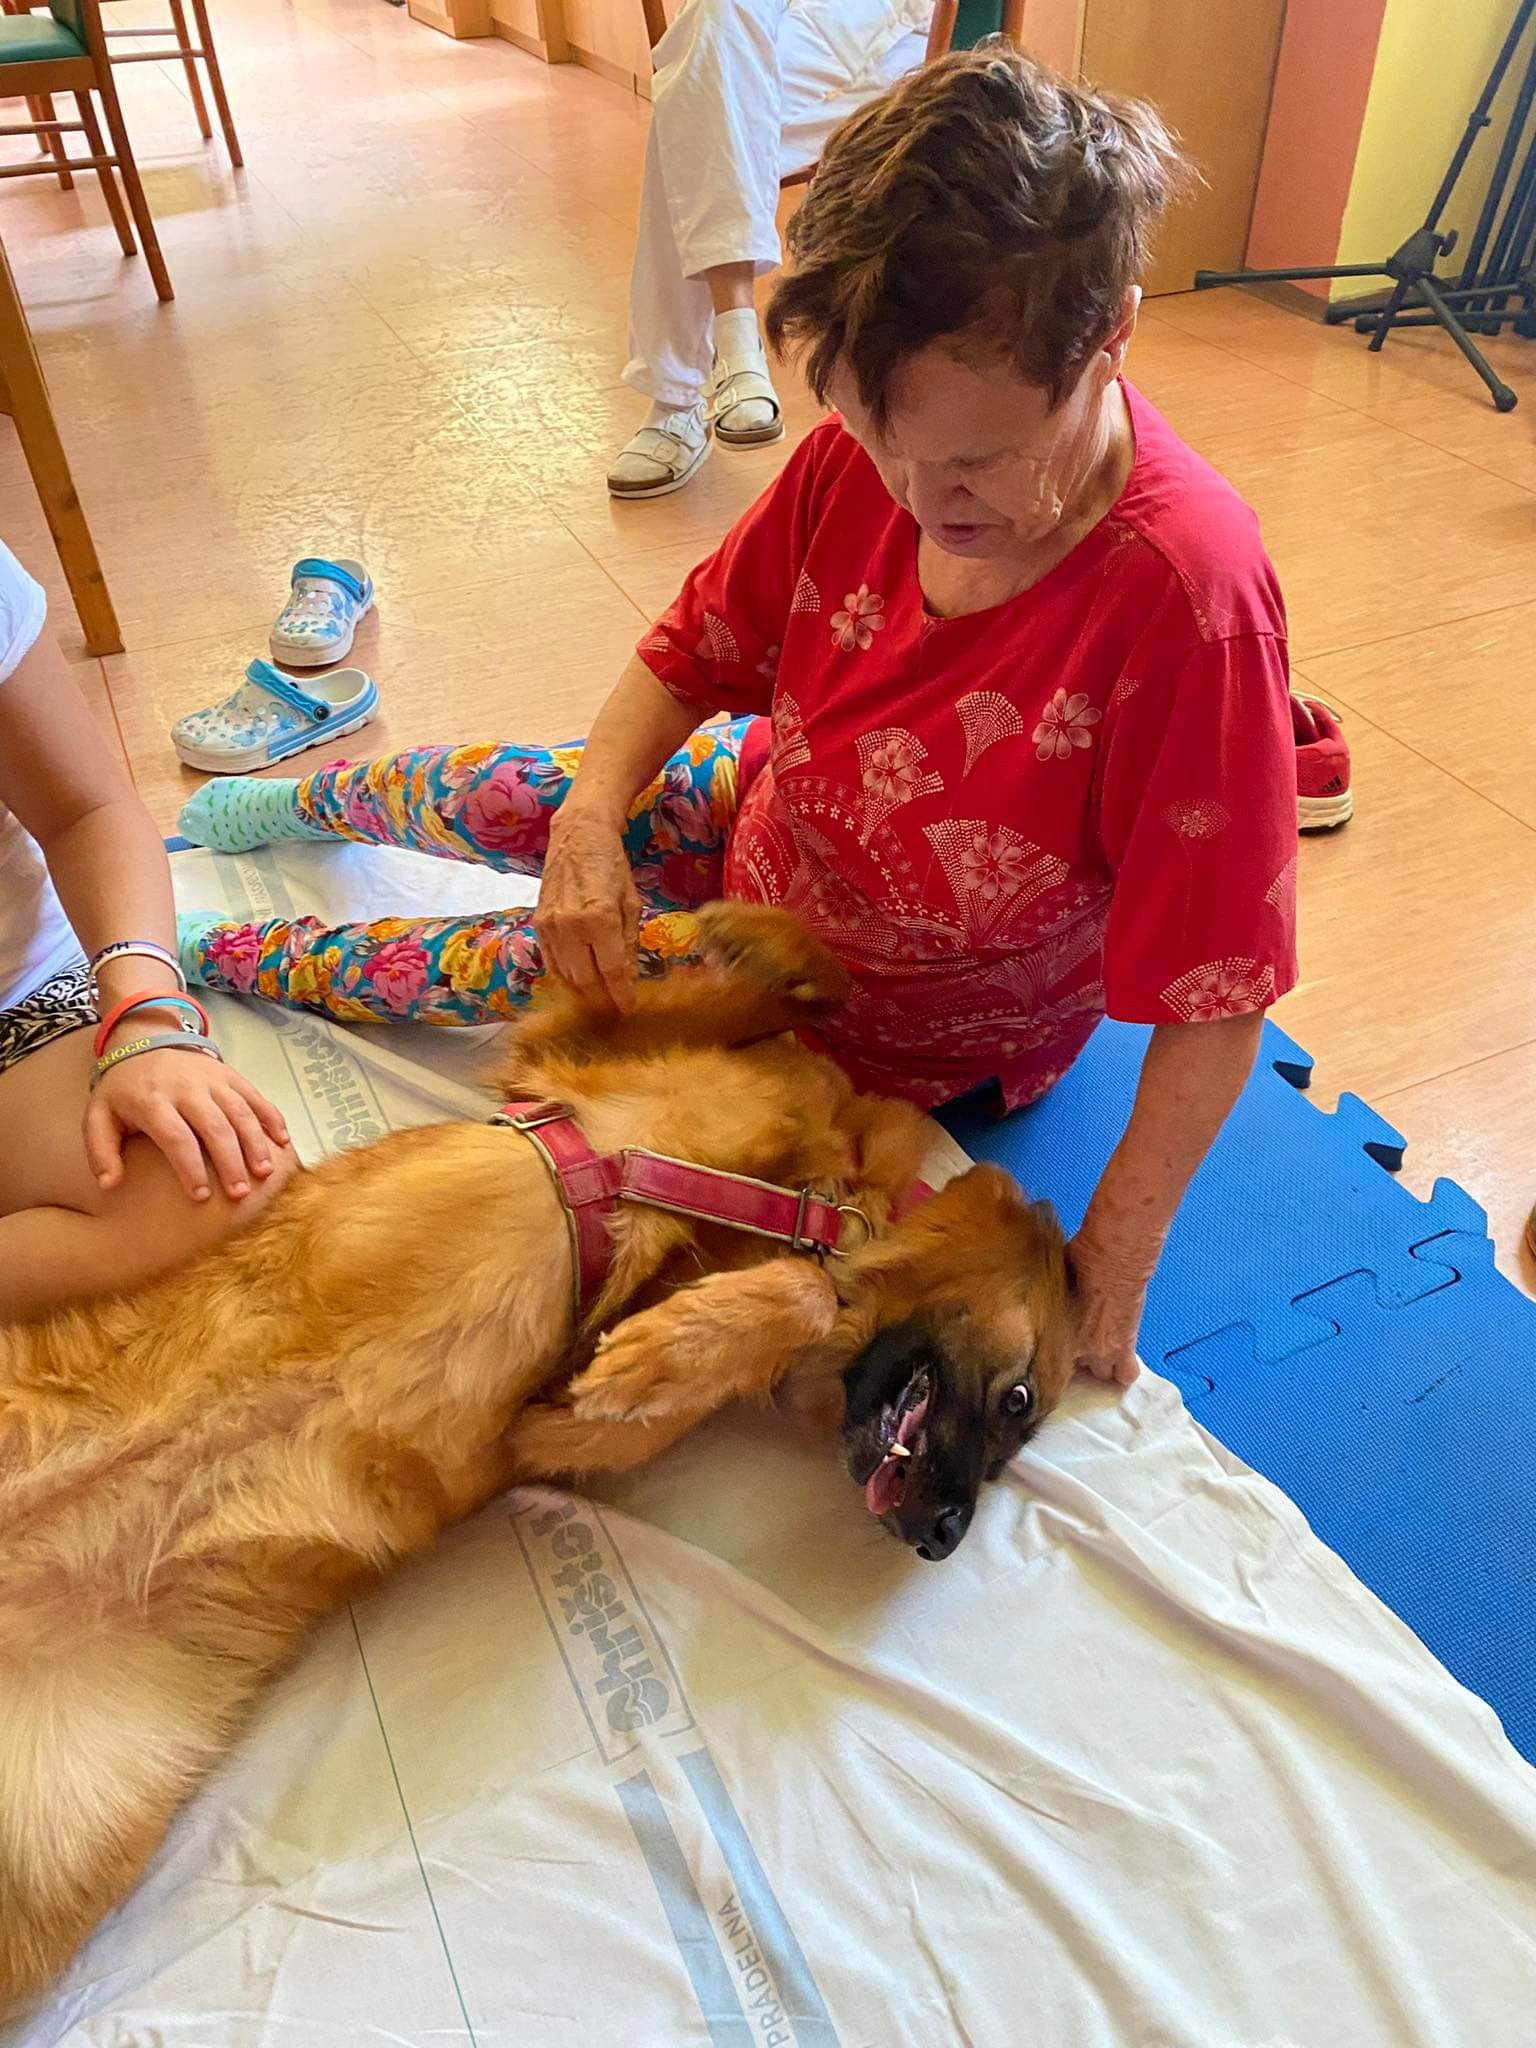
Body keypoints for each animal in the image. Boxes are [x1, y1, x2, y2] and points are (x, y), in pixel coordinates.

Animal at [0, 902, 1071, 2008]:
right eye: (1021, 1400)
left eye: (1015, 1430)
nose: (944, 1534)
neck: (815, 1202)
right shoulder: (571, 1053)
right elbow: (780, 990)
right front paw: (741, 933)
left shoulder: (546, 1424)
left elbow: (765, 1312)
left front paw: (677, 1345)